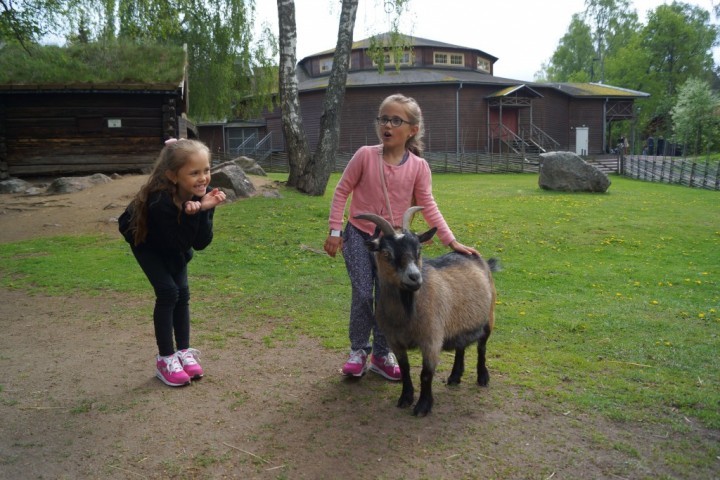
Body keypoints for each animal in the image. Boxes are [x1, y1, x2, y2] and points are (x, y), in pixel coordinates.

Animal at [356, 206, 500, 416]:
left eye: (419, 249)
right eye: (386, 253)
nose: (415, 277)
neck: (407, 313)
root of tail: (480, 259)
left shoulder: (431, 339)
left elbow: (425, 374)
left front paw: (423, 406)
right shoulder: (394, 340)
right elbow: (405, 369)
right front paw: (405, 398)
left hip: (489, 316)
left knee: (482, 347)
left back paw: (482, 377)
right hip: (459, 322)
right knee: (461, 346)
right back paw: (454, 376)